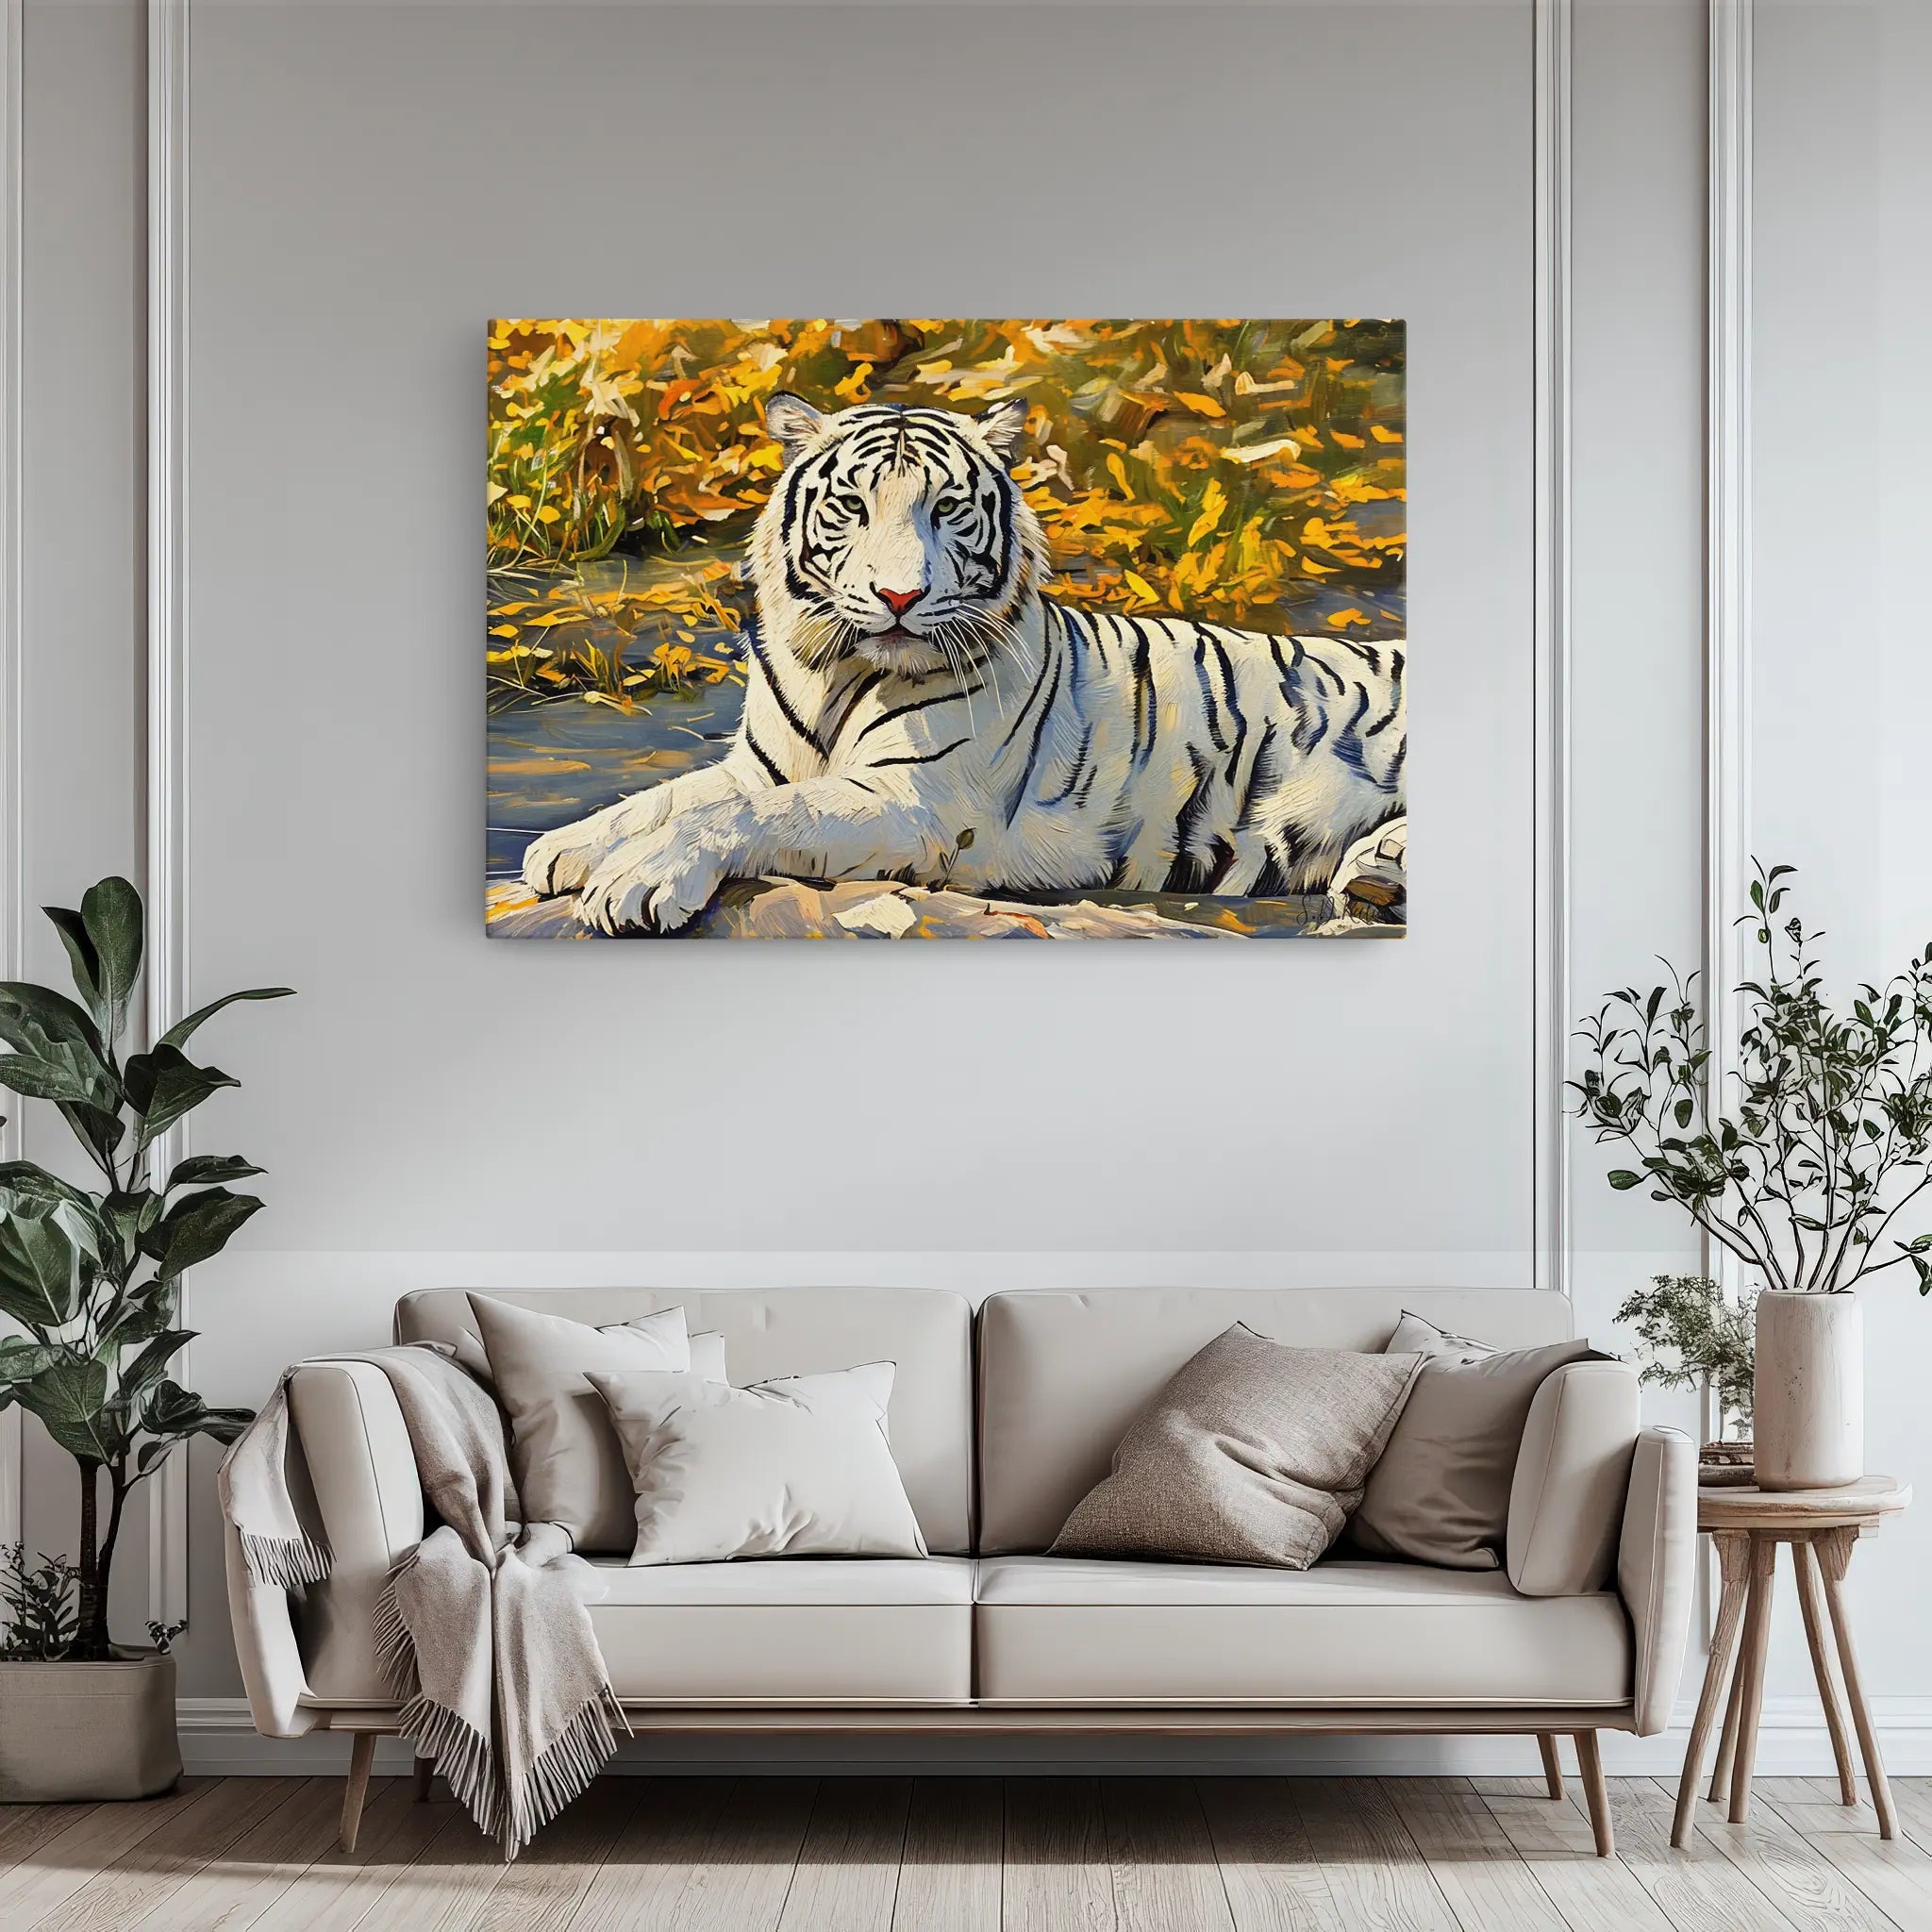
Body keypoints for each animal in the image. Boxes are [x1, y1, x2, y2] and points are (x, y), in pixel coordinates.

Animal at [519, 393, 1406, 936]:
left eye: (946, 509)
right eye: (852, 507)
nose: (899, 594)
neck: (835, 671)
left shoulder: (916, 801)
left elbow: (747, 816)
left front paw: (636, 882)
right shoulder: (758, 764)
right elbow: (669, 798)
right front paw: (564, 847)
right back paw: (1379, 875)